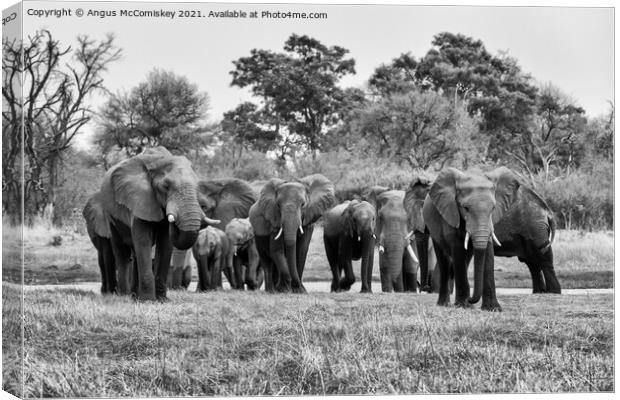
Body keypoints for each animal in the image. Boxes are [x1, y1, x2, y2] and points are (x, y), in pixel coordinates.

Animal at [100, 147, 220, 300]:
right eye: (166, 186)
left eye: (197, 185)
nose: (174, 219)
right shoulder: (139, 199)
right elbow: (143, 240)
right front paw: (148, 301)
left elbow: (165, 243)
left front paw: (162, 300)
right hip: (110, 214)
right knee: (122, 252)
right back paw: (124, 296)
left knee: (136, 252)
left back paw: (135, 297)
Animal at [404, 172, 560, 294]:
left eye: (425, 211)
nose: (424, 288)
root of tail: (547, 211)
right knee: (531, 261)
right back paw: (539, 292)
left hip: (535, 228)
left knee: (543, 257)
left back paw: (553, 292)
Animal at [424, 167, 520, 310]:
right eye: (466, 208)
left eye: (493, 208)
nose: (471, 300)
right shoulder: (451, 213)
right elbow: (458, 250)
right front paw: (463, 305)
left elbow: (488, 250)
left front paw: (493, 309)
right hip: (433, 229)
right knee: (444, 261)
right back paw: (444, 304)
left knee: (466, 259)